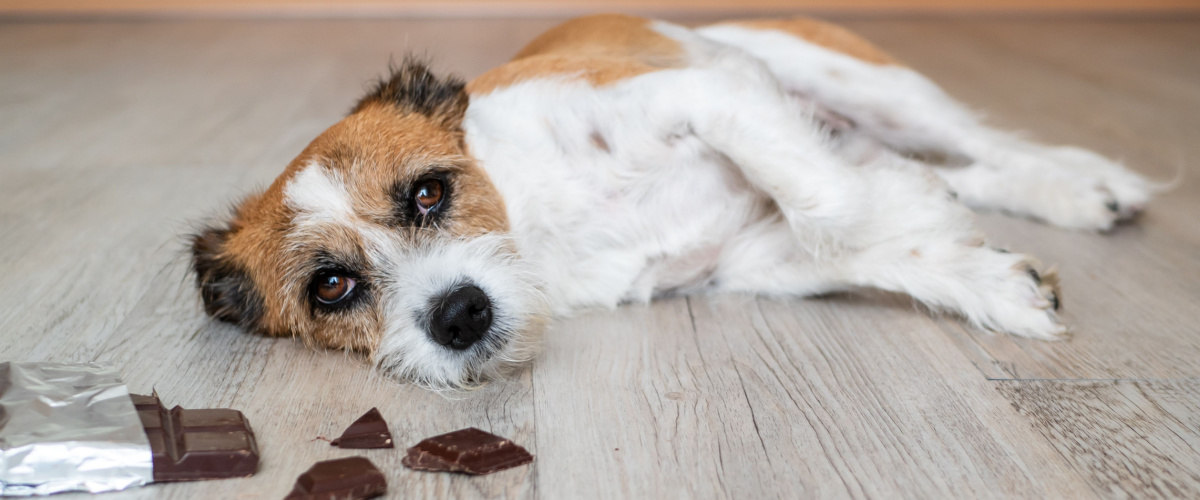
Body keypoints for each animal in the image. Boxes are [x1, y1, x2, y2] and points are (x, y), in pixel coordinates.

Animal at [189, 13, 1152, 388]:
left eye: (428, 192)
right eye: (331, 287)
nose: (459, 315)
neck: (539, 221)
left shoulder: (708, 94)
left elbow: (828, 203)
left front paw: (908, 213)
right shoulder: (748, 259)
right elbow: (850, 238)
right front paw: (982, 276)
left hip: (863, 83)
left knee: (984, 144)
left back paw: (1087, 184)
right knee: (959, 166)